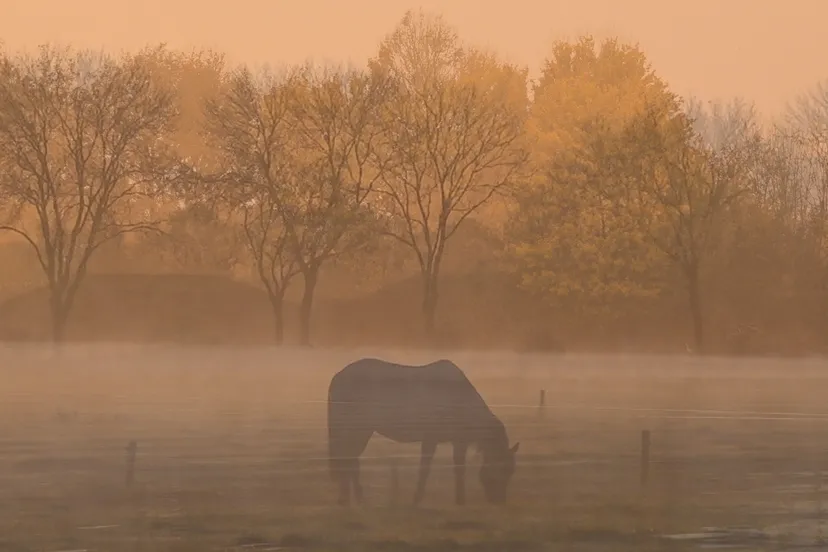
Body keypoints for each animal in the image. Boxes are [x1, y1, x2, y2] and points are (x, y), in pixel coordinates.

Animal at [327, 357, 520, 506]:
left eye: (511, 471)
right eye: (501, 469)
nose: (499, 501)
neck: (457, 398)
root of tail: (337, 376)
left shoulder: (459, 442)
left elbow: (459, 469)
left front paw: (460, 501)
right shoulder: (430, 439)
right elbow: (424, 469)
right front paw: (417, 500)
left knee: (350, 460)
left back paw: (353, 500)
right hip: (357, 429)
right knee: (348, 460)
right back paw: (351, 500)